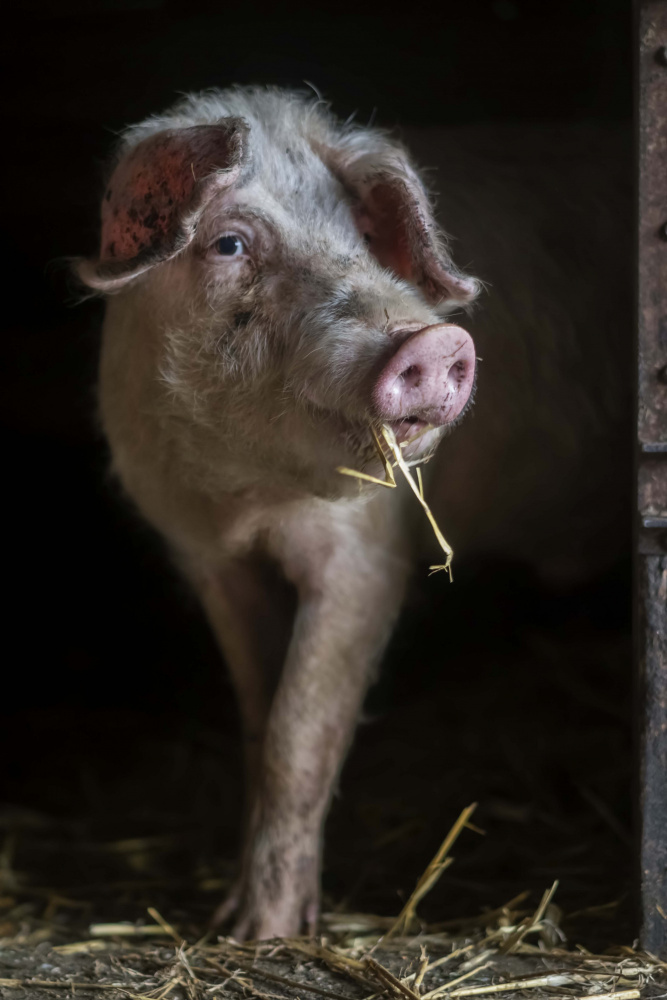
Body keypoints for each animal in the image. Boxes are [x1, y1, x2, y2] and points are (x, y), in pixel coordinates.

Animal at [75, 87, 630, 939]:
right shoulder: (211, 562)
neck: (241, 497)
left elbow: (298, 733)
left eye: (364, 239)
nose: (432, 342)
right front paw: (228, 921)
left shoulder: (369, 555)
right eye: (228, 243)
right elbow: (258, 718)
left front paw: (264, 937)